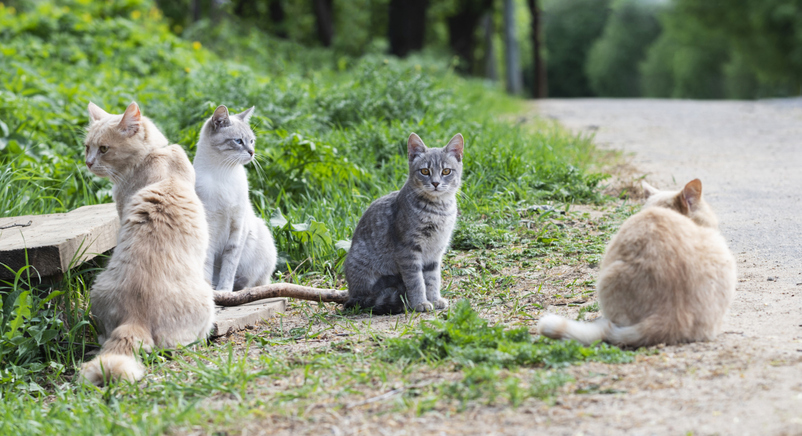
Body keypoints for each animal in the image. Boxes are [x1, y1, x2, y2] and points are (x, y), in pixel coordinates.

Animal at [192, 104, 276, 292]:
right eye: (238, 141)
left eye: (251, 141)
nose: (252, 152)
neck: (224, 174)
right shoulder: (209, 227)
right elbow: (208, 263)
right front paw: (212, 291)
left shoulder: (237, 227)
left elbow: (229, 266)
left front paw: (224, 290)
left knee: (255, 281)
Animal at [344, 132, 462, 314]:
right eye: (425, 171)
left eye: (446, 171)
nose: (435, 183)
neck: (438, 211)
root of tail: (352, 295)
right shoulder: (408, 250)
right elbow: (416, 281)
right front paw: (420, 303)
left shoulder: (435, 251)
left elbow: (432, 279)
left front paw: (434, 299)